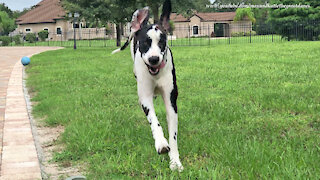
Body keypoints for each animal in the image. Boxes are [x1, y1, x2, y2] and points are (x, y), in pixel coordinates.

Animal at [112, 0, 182, 172]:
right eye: (145, 42)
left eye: (162, 42)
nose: (154, 59)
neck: (155, 74)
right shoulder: (145, 99)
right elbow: (154, 122)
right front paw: (161, 143)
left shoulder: (171, 102)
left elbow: (173, 135)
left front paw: (175, 161)